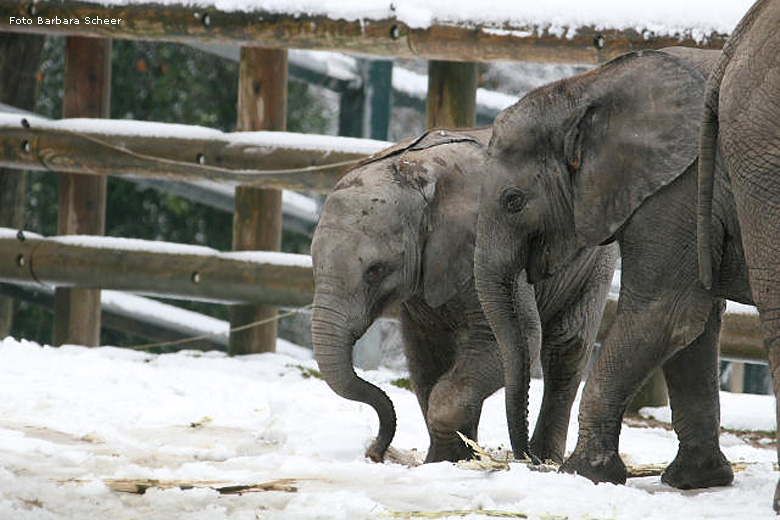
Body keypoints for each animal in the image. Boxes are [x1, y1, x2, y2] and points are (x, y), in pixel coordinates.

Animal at [308, 127, 620, 464]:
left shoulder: (485, 239)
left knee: (566, 349)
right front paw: (443, 461)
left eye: (375, 271)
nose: (375, 451)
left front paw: (450, 458)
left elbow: (513, 339)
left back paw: (546, 458)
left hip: (596, 258)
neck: (418, 170)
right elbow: (426, 354)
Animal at [472, 46, 752, 490]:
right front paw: (696, 480)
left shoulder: (679, 189)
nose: (529, 459)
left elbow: (665, 315)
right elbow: (698, 325)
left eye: (513, 201)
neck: (587, 89)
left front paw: (582, 473)